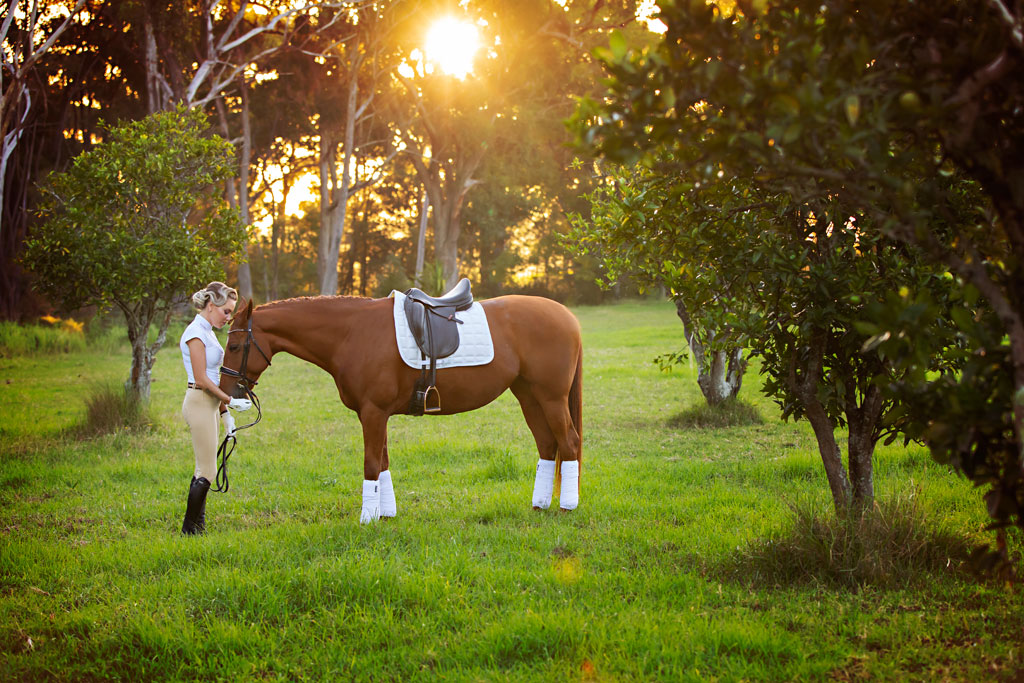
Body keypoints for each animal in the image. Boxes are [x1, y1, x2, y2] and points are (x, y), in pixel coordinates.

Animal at [217, 292, 581, 524]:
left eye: (234, 345)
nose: (226, 395)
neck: (352, 333)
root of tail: (567, 316)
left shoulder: (373, 413)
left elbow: (370, 464)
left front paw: (367, 518)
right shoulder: (375, 414)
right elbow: (383, 463)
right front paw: (386, 514)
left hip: (550, 397)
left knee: (569, 443)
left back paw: (567, 507)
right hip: (529, 396)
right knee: (548, 445)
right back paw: (540, 505)